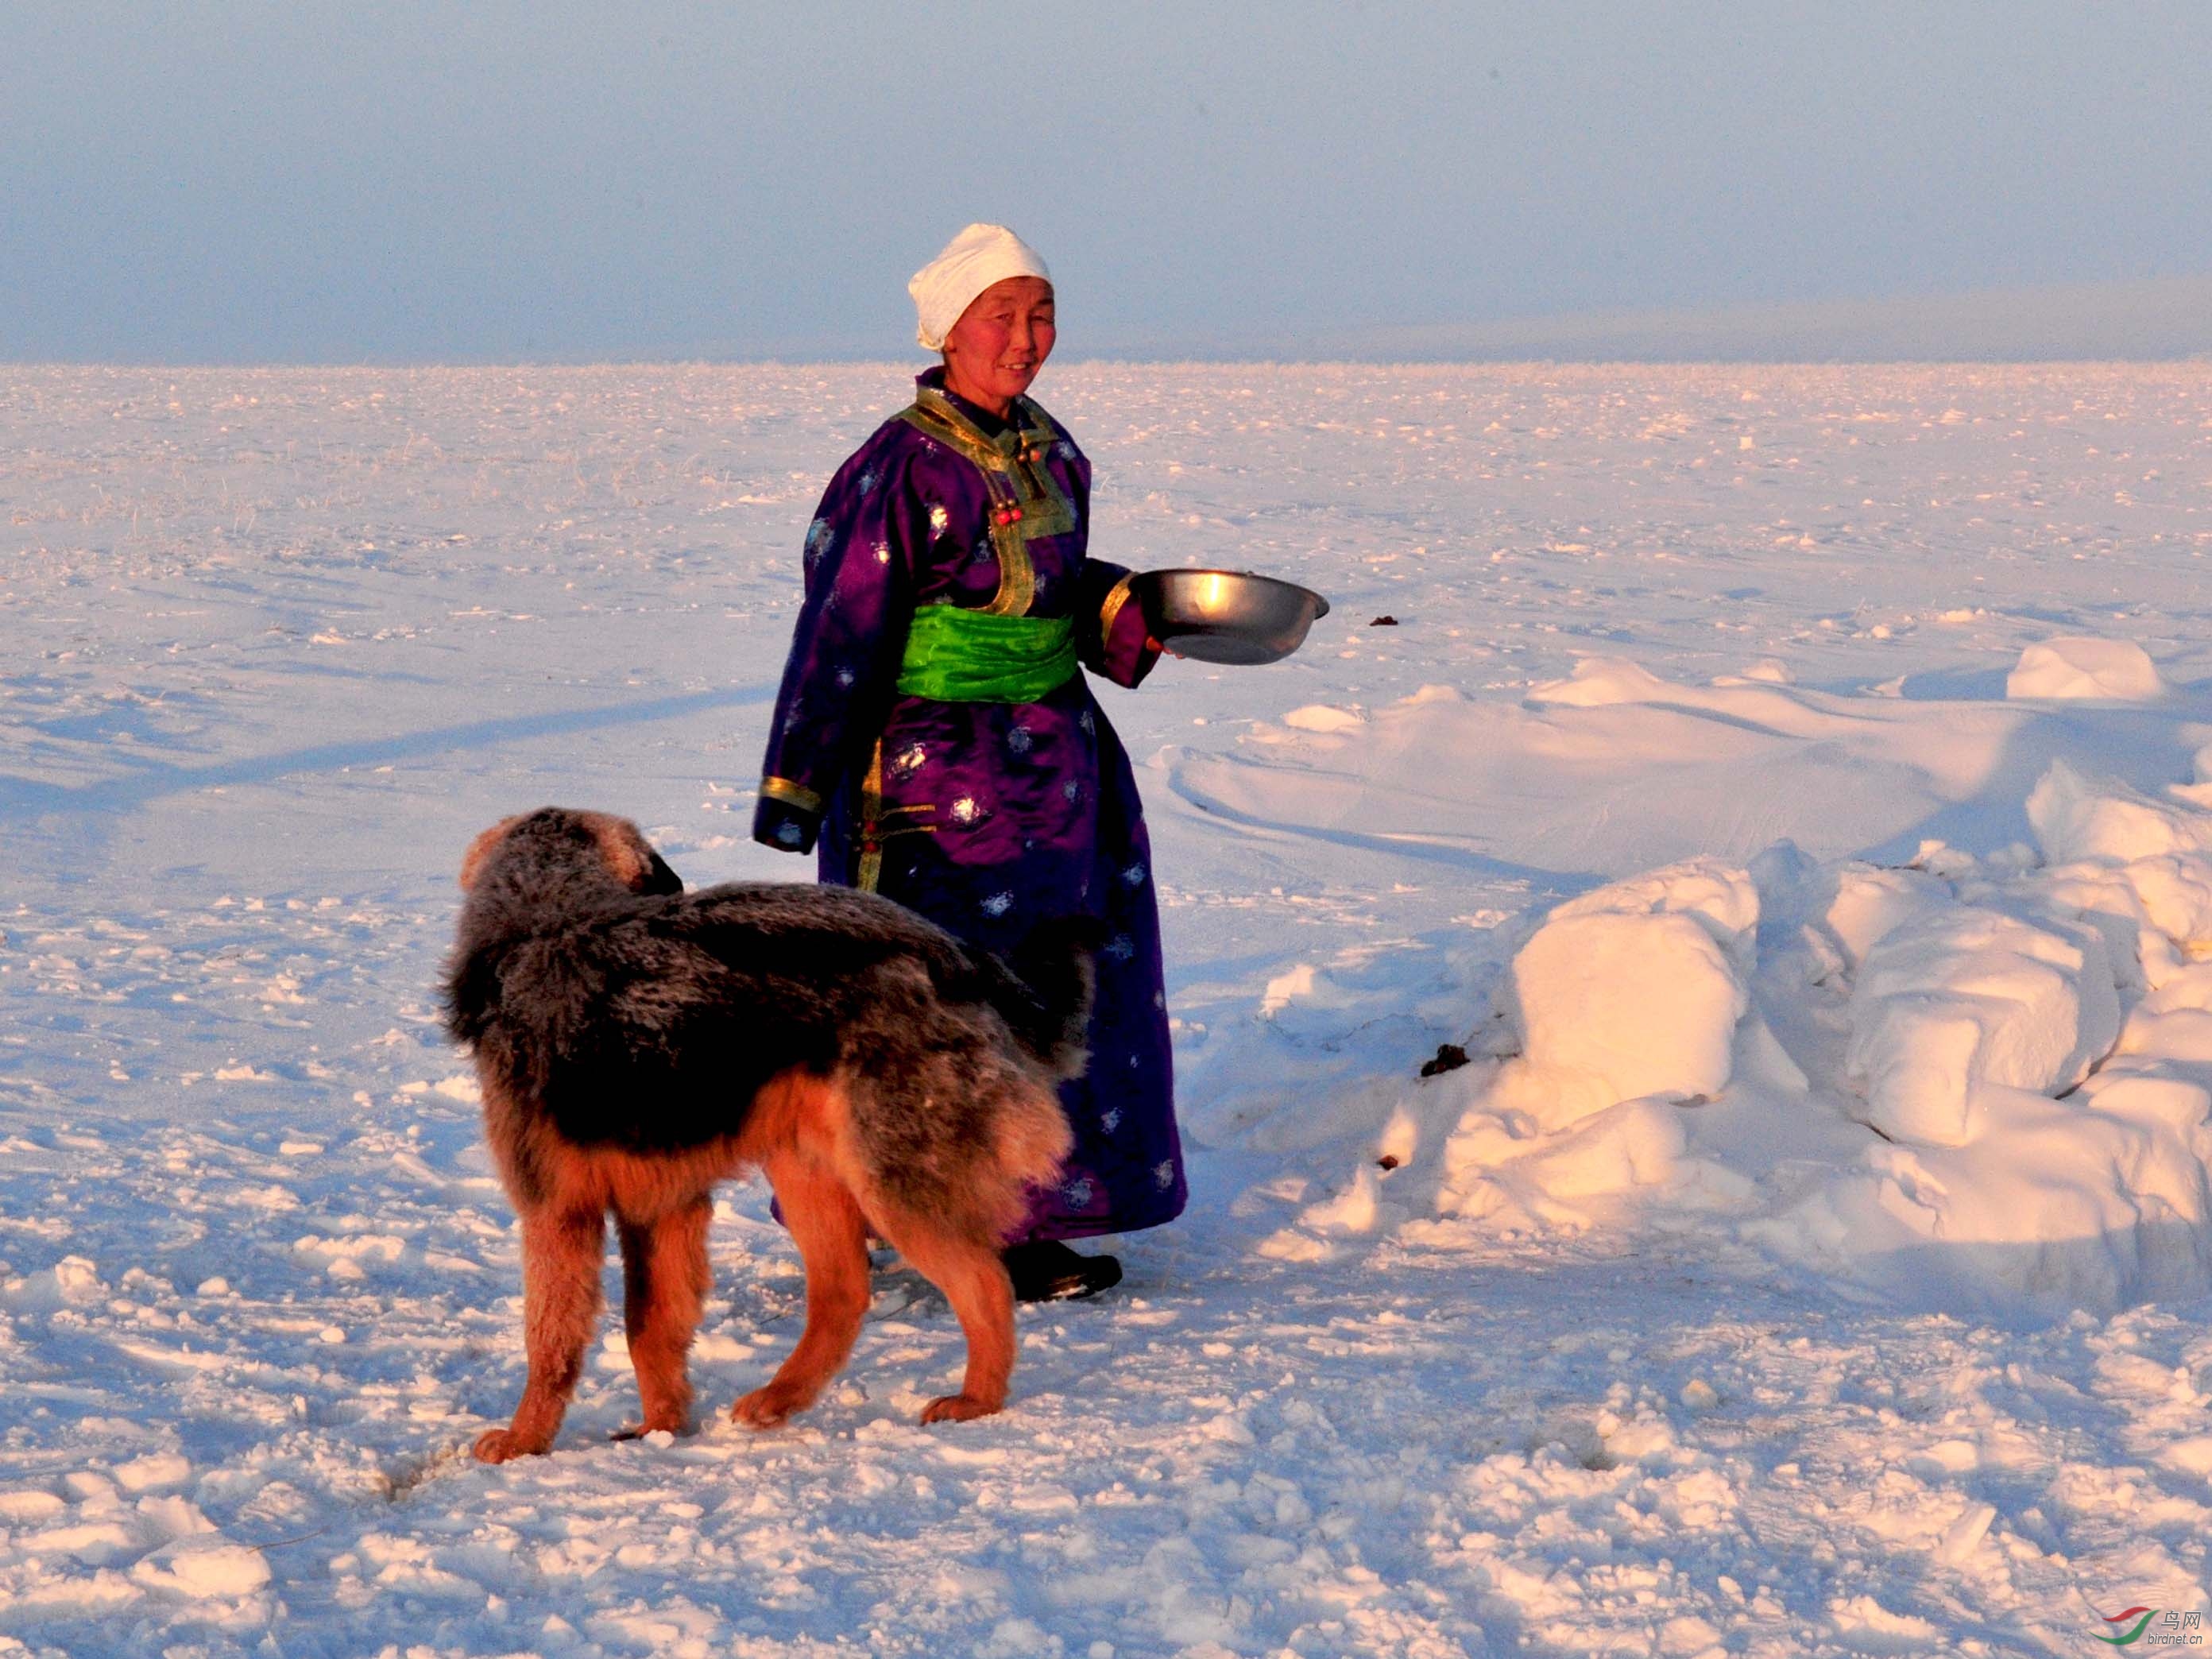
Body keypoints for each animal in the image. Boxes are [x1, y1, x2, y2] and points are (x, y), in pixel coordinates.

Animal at [442, 814, 1088, 1460]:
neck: (545, 917)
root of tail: (956, 955)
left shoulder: (556, 1210)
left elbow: (550, 1343)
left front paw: (524, 1440)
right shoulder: (661, 1208)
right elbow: (651, 1328)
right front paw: (661, 1429)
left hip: (892, 1180)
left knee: (985, 1286)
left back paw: (975, 1401)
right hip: (807, 1169)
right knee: (844, 1293)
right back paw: (779, 1400)